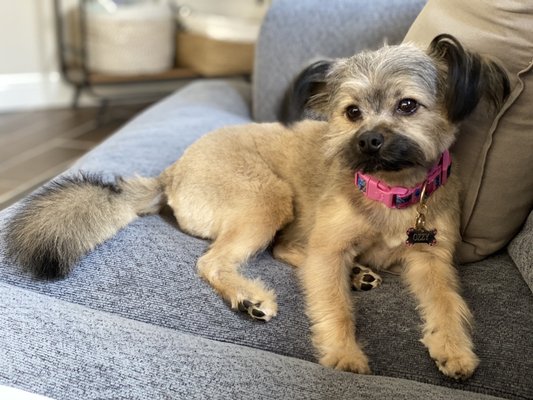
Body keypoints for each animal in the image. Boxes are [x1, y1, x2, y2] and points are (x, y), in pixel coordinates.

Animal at [6, 33, 510, 378]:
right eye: (351, 112)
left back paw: (358, 275)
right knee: (217, 260)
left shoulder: (432, 258)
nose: (368, 141)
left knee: (283, 251)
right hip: (268, 199)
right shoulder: (328, 248)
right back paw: (250, 295)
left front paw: (454, 348)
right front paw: (344, 356)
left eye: (408, 106)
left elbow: (447, 301)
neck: (391, 192)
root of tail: (172, 170)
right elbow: (335, 305)